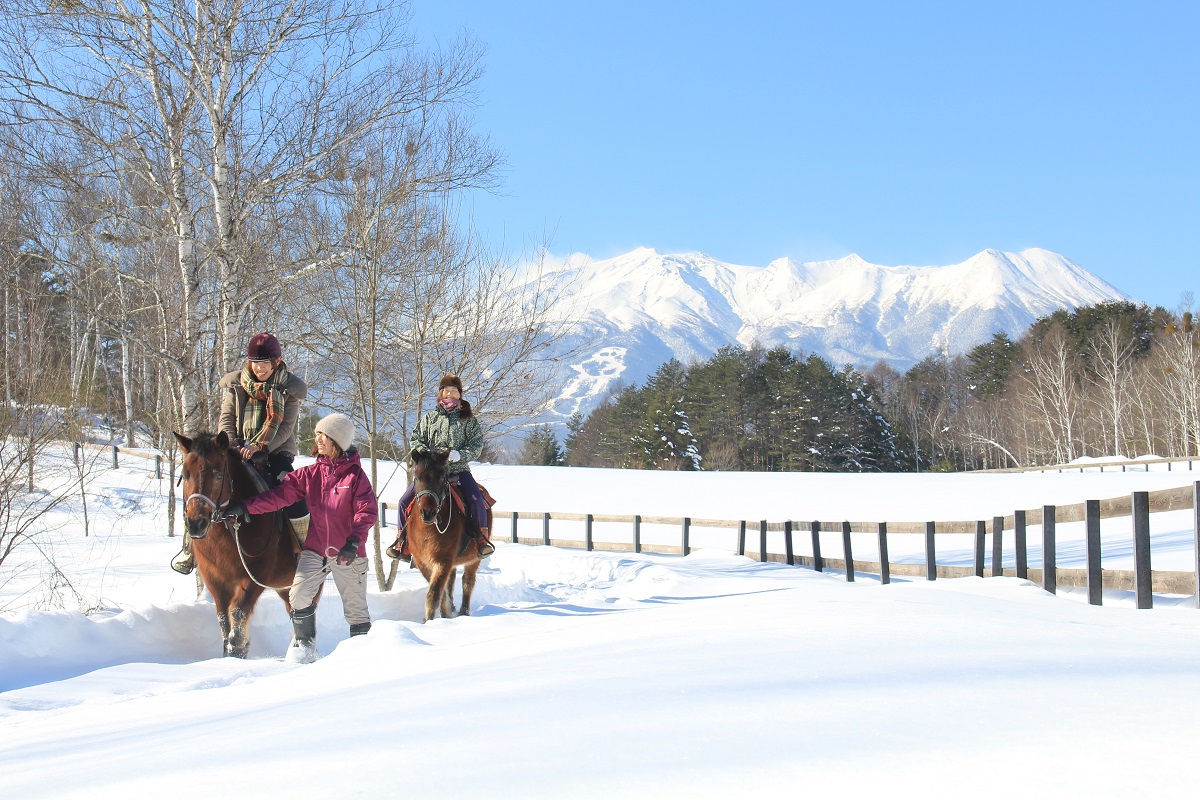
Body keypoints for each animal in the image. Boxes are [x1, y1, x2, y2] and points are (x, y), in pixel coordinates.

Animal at [175, 431, 304, 657]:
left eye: (218, 475)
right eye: (185, 474)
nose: (196, 524)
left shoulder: (255, 575)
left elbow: (238, 612)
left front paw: (237, 651)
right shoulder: (214, 579)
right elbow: (223, 619)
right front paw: (228, 653)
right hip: (284, 585)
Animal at [405, 448, 489, 623]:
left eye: (442, 477)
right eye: (417, 477)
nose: (428, 512)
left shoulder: (443, 560)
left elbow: (434, 594)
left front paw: (430, 622)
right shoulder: (423, 562)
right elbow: (441, 591)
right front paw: (445, 613)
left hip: (474, 559)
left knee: (467, 581)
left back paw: (464, 611)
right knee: (451, 582)